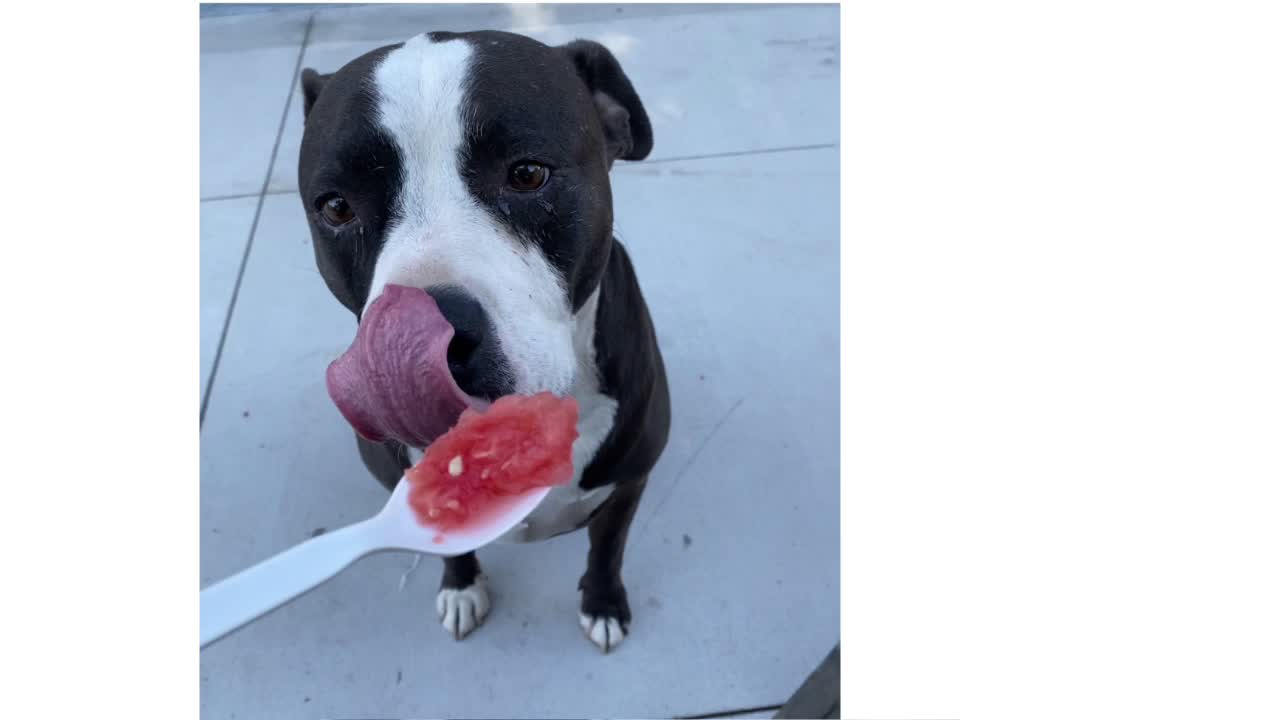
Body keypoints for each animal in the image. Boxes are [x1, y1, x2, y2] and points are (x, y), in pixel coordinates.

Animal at [293, 32, 670, 650]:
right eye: (337, 206)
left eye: (528, 174)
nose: (424, 344)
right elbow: (448, 542)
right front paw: (462, 587)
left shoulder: (630, 483)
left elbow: (607, 550)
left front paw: (603, 602)